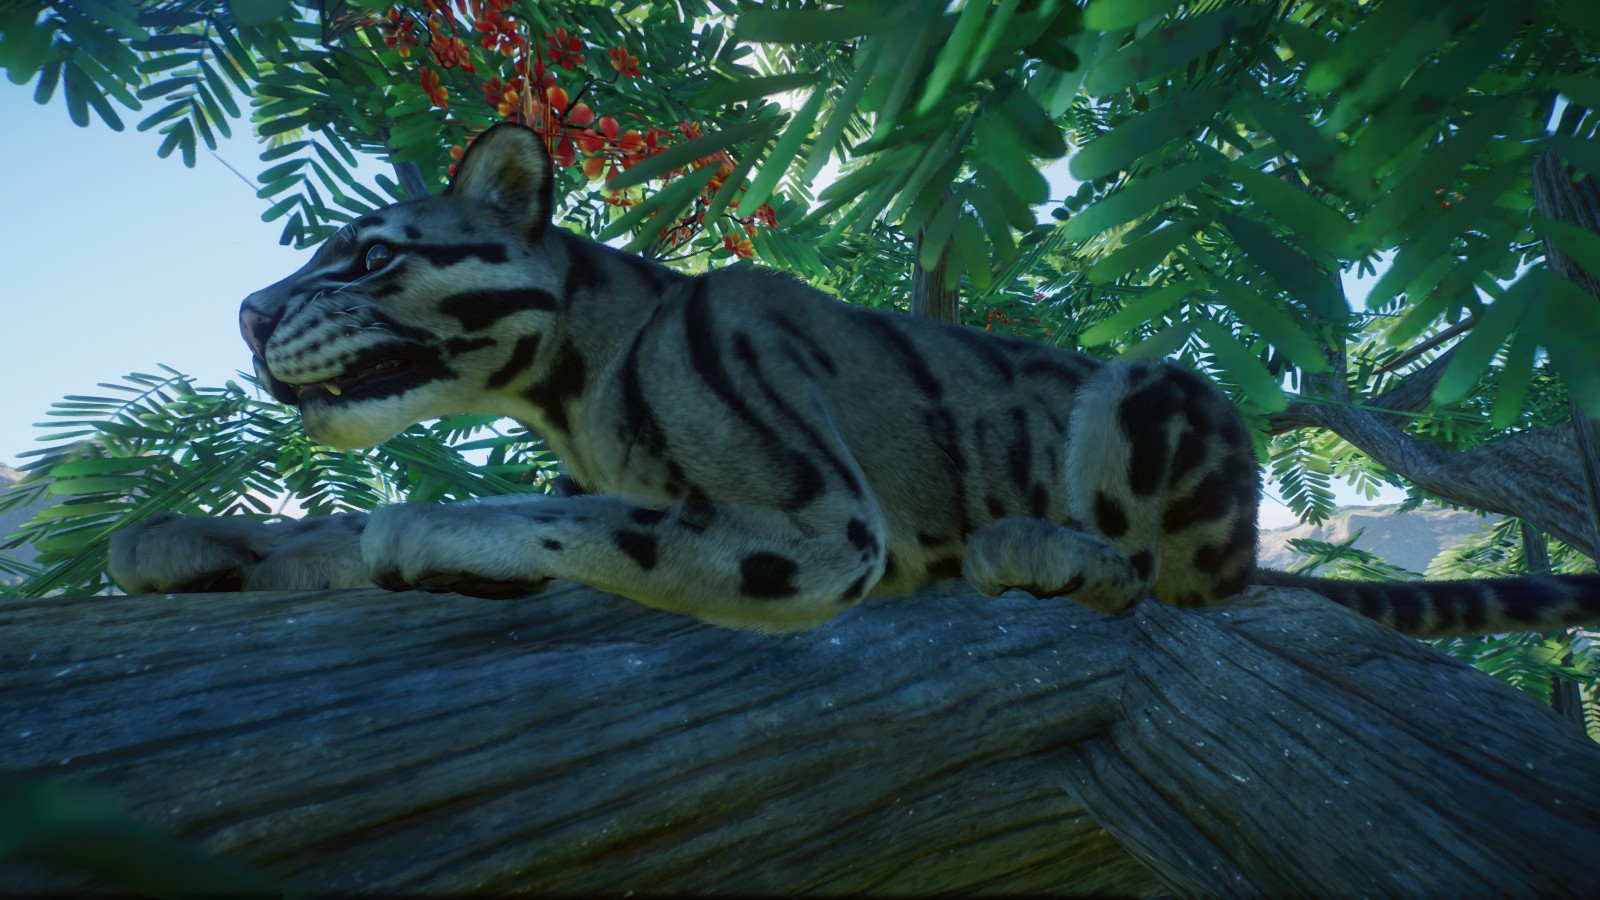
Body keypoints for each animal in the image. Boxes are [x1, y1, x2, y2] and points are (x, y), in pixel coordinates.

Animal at [109, 123, 1600, 636]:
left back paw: (1040, 549)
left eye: (366, 257)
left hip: (1149, 384)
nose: (247, 312)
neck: (574, 382)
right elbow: (326, 534)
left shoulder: (823, 523)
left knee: (1177, 589)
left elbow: (570, 519)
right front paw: (190, 539)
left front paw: (425, 528)